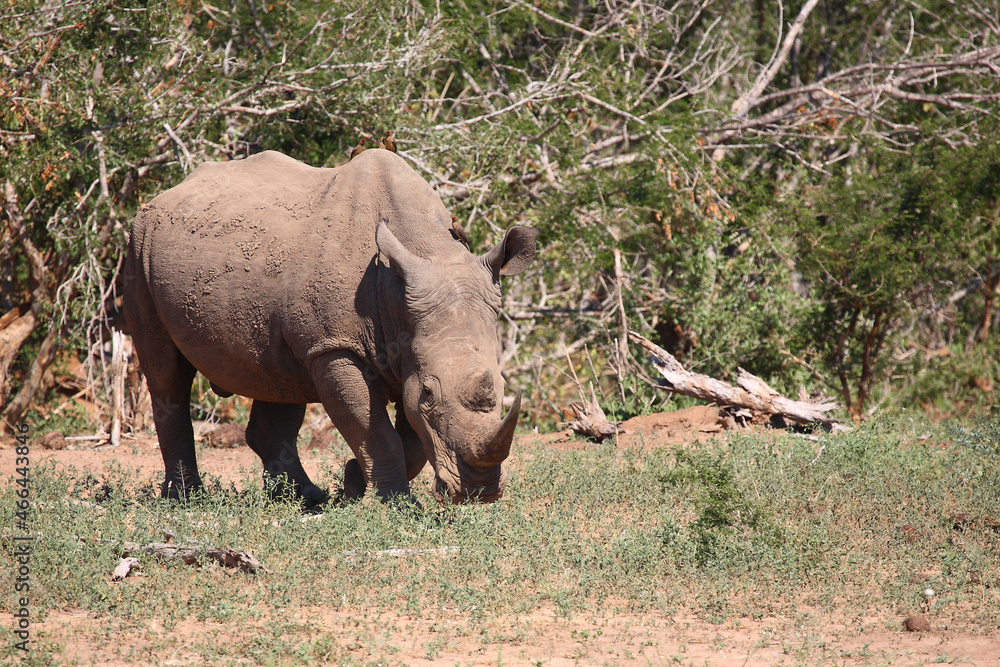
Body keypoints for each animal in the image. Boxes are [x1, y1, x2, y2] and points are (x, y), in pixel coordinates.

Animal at [123, 149, 537, 504]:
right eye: (429, 395)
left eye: (503, 390)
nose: (479, 491)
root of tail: (165, 194)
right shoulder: (334, 347)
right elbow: (377, 432)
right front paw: (396, 504)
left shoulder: (407, 348)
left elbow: (412, 439)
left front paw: (354, 481)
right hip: (138, 246)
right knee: (166, 375)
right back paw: (185, 500)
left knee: (276, 377)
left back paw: (305, 499)